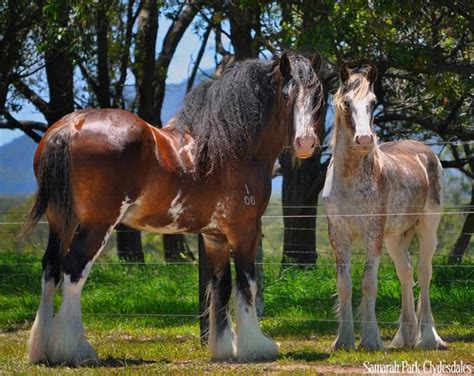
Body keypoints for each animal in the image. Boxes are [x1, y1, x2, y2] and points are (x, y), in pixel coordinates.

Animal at [25, 53, 326, 364]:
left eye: (317, 95)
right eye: (287, 95)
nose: (306, 143)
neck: (234, 150)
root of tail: (70, 127)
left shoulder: (214, 237)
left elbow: (221, 285)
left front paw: (223, 347)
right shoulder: (244, 231)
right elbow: (247, 284)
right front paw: (255, 346)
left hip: (62, 220)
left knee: (51, 268)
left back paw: (41, 349)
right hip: (98, 224)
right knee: (74, 269)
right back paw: (75, 350)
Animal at [322, 65, 448, 352]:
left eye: (373, 102)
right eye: (346, 103)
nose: (364, 139)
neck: (350, 181)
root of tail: (426, 153)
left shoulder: (372, 235)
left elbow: (369, 283)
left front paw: (371, 340)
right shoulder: (338, 235)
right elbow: (344, 284)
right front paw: (343, 340)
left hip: (427, 229)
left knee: (424, 273)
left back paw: (429, 338)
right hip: (394, 239)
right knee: (406, 272)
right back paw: (405, 337)